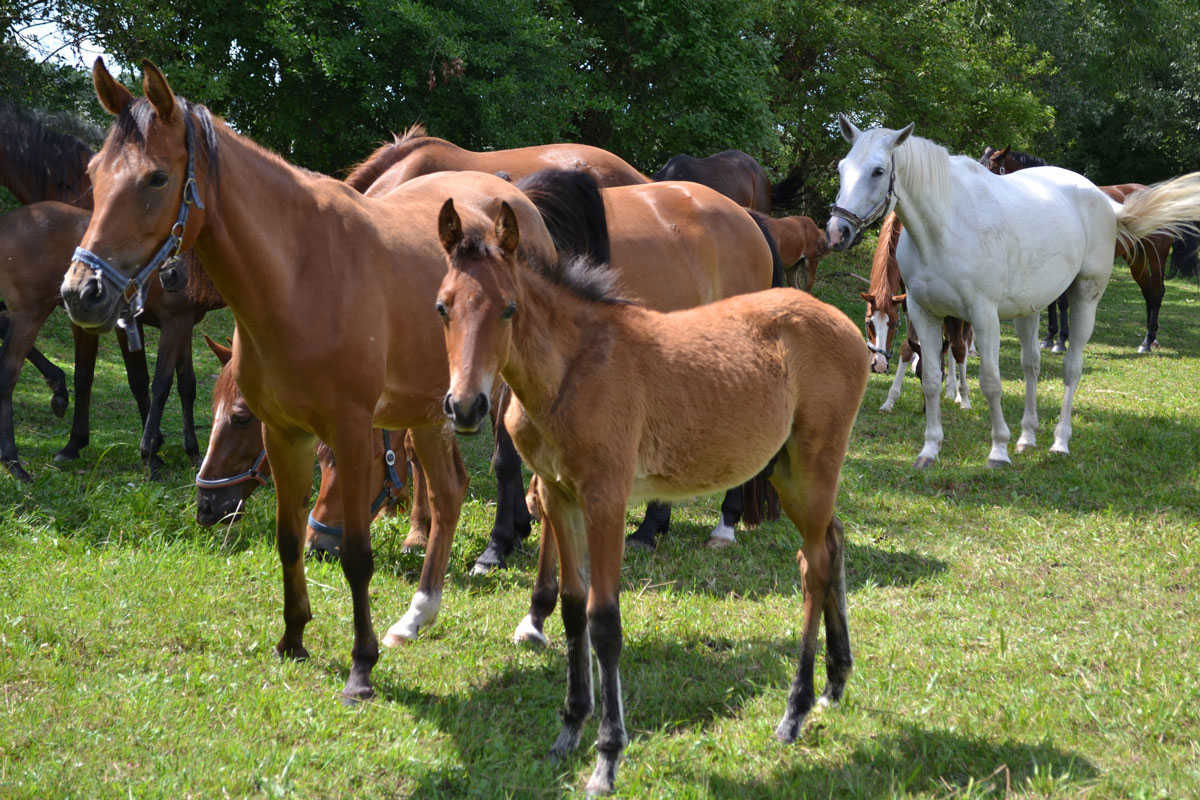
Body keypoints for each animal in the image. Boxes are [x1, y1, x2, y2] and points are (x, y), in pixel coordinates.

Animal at [436, 191, 868, 796]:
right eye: (443, 308)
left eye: (508, 309)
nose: (466, 406)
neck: (570, 373)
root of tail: (846, 325)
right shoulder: (560, 496)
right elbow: (572, 610)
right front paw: (568, 730)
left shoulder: (606, 500)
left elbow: (604, 621)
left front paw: (606, 758)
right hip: (792, 473)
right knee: (833, 542)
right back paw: (835, 683)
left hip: (814, 465)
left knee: (816, 565)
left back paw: (794, 712)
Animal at [859, 212, 969, 412]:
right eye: (868, 323)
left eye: (894, 325)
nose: (880, 366)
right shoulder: (907, 300)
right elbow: (910, 345)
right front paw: (890, 401)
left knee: (959, 344)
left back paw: (958, 394)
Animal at [984, 146, 1171, 352]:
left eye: (992, 168)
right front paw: (1049, 337)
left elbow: (1061, 302)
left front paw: (1060, 340)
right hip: (1138, 260)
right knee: (1149, 293)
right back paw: (1150, 340)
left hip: (1154, 258)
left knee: (1156, 293)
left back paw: (1148, 340)